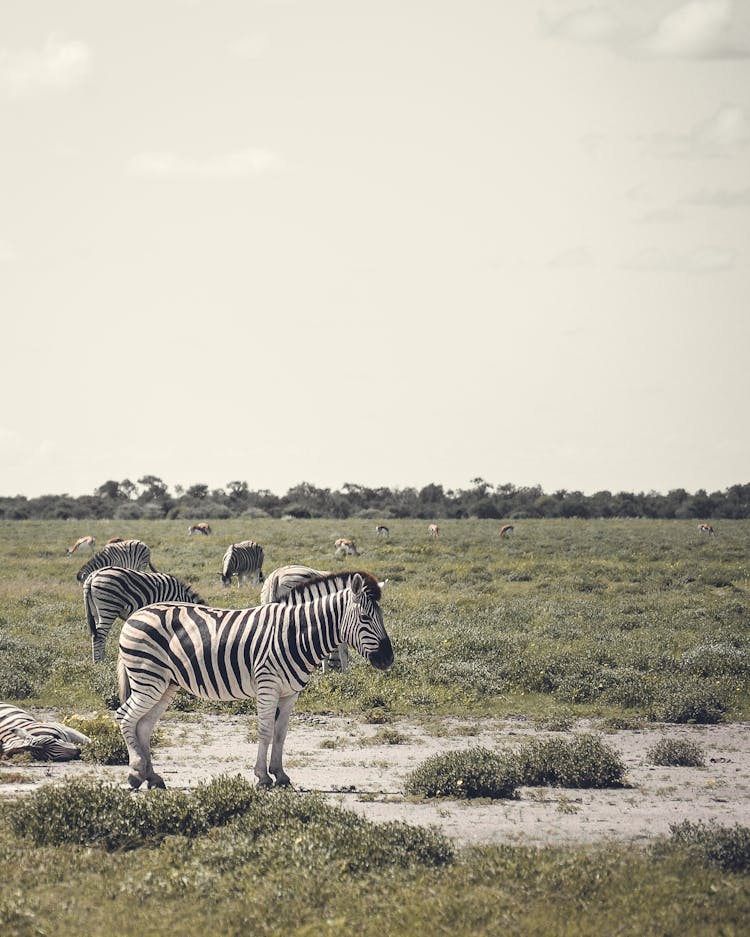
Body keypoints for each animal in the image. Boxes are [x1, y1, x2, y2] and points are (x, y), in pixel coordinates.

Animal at [116, 572, 394, 788]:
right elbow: (265, 730)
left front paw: (280, 775)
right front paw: (262, 777)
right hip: (148, 678)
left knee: (144, 725)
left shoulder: (290, 693)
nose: (388, 658)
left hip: (165, 684)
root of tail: (137, 614)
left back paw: (152, 777)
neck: (294, 634)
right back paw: (134, 774)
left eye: (382, 617)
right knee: (125, 716)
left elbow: (281, 733)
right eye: (365, 618)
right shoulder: (267, 685)